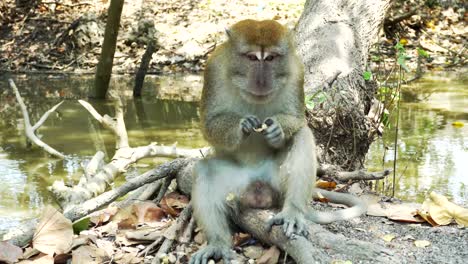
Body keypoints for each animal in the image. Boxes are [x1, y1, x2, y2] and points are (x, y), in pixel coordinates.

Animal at [189, 19, 366, 262]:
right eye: (252, 58)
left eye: (271, 58)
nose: (261, 81)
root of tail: (258, 188)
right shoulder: (213, 69)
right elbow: (209, 125)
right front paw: (242, 126)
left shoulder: (296, 70)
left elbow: (298, 119)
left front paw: (278, 131)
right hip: (236, 184)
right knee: (204, 170)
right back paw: (217, 242)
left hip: (277, 181)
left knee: (302, 135)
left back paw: (292, 212)